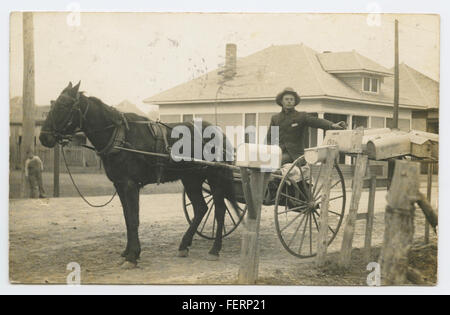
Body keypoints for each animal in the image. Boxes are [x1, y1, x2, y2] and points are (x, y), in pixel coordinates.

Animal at [39, 82, 237, 270]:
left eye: (64, 105)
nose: (43, 137)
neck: (120, 136)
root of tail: (219, 133)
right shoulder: (120, 185)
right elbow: (127, 218)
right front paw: (127, 252)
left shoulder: (130, 185)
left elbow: (134, 219)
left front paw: (133, 257)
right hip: (191, 179)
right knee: (201, 208)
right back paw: (184, 246)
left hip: (215, 179)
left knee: (219, 211)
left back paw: (214, 250)